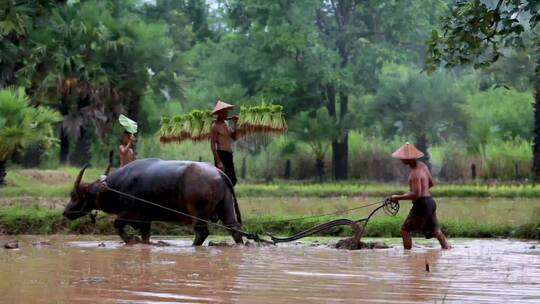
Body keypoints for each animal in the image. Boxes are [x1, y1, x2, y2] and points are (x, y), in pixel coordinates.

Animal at [61, 158, 245, 246]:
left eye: (74, 195)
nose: (65, 212)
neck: (114, 187)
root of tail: (219, 173)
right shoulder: (145, 220)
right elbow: (145, 237)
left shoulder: (130, 213)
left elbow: (117, 224)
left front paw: (130, 240)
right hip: (226, 208)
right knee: (234, 230)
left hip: (198, 216)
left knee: (202, 233)